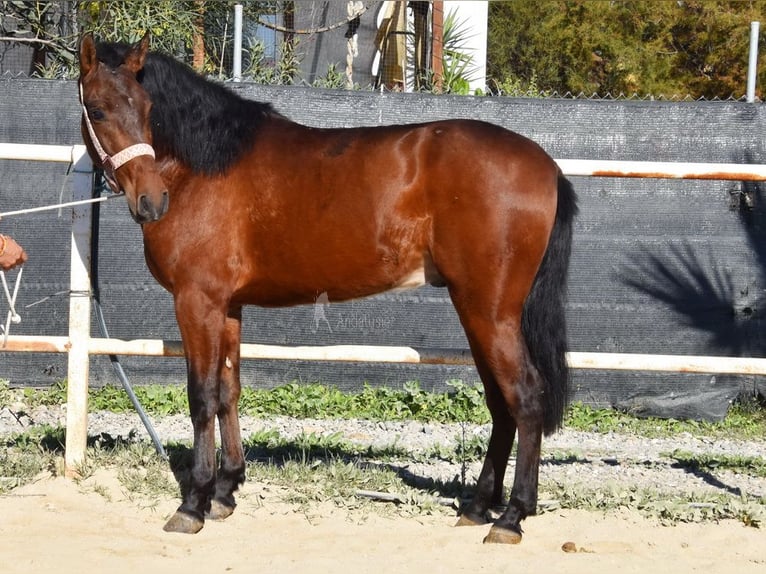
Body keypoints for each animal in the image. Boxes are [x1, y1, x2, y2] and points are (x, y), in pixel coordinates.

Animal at [79, 33, 576, 548]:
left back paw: (511, 516)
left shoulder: (197, 302)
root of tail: (546, 166)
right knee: (501, 403)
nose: (151, 202)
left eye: (146, 107)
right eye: (97, 110)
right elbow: (228, 391)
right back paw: (478, 507)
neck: (205, 166)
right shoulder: (228, 305)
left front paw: (193, 503)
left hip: (490, 311)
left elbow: (201, 397)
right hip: (477, 310)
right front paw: (225, 491)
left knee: (526, 397)